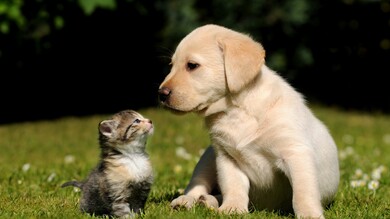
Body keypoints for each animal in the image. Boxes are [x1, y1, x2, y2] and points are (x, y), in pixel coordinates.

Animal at [158, 24, 338, 219]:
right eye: (171, 66)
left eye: (192, 65)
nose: (161, 94)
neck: (236, 110)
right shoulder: (226, 157)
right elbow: (233, 186)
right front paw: (233, 208)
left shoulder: (295, 153)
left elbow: (303, 192)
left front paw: (309, 214)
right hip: (207, 158)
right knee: (197, 186)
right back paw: (188, 201)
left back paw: (207, 201)